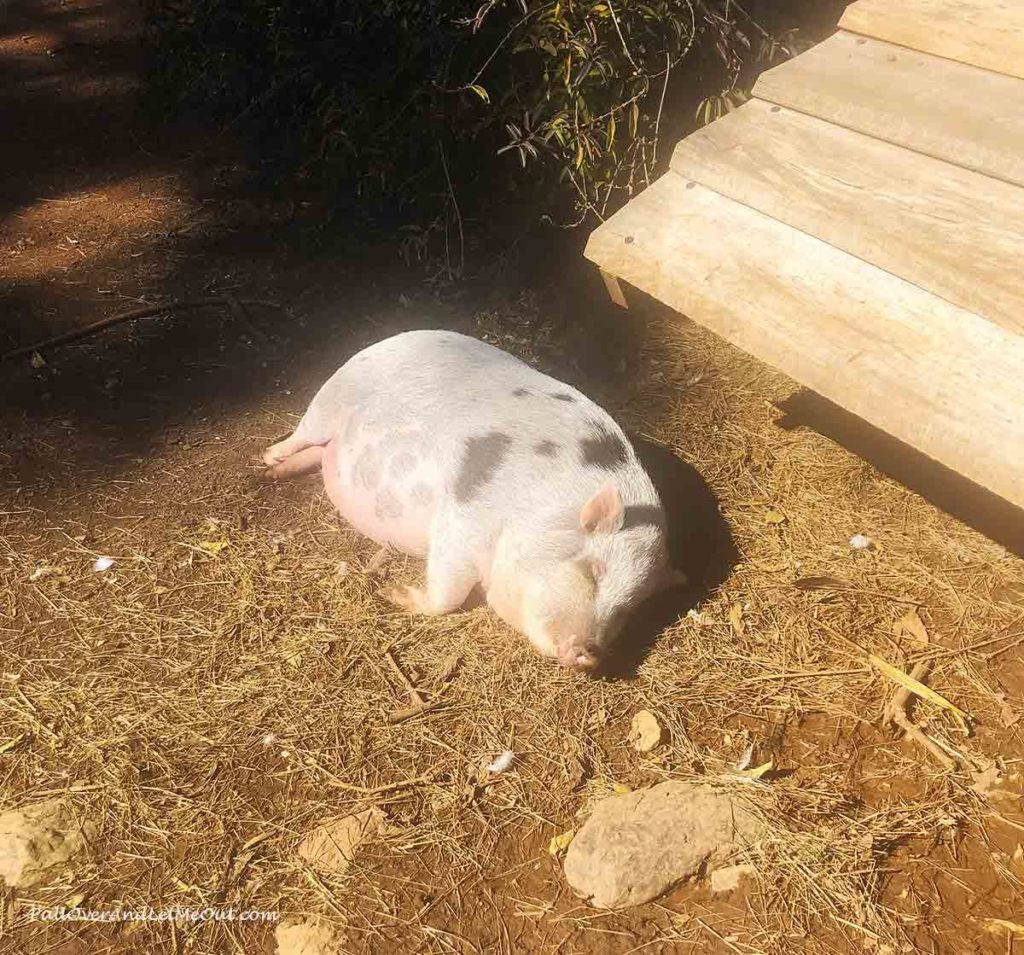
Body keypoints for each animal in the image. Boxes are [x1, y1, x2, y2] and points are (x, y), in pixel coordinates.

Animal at [260, 327, 684, 671]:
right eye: (593, 572)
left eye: (629, 607)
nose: (588, 654)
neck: (541, 510)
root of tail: (394, 337)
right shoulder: (464, 518)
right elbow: (448, 592)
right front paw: (391, 593)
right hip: (330, 400)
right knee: (303, 434)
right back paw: (268, 462)